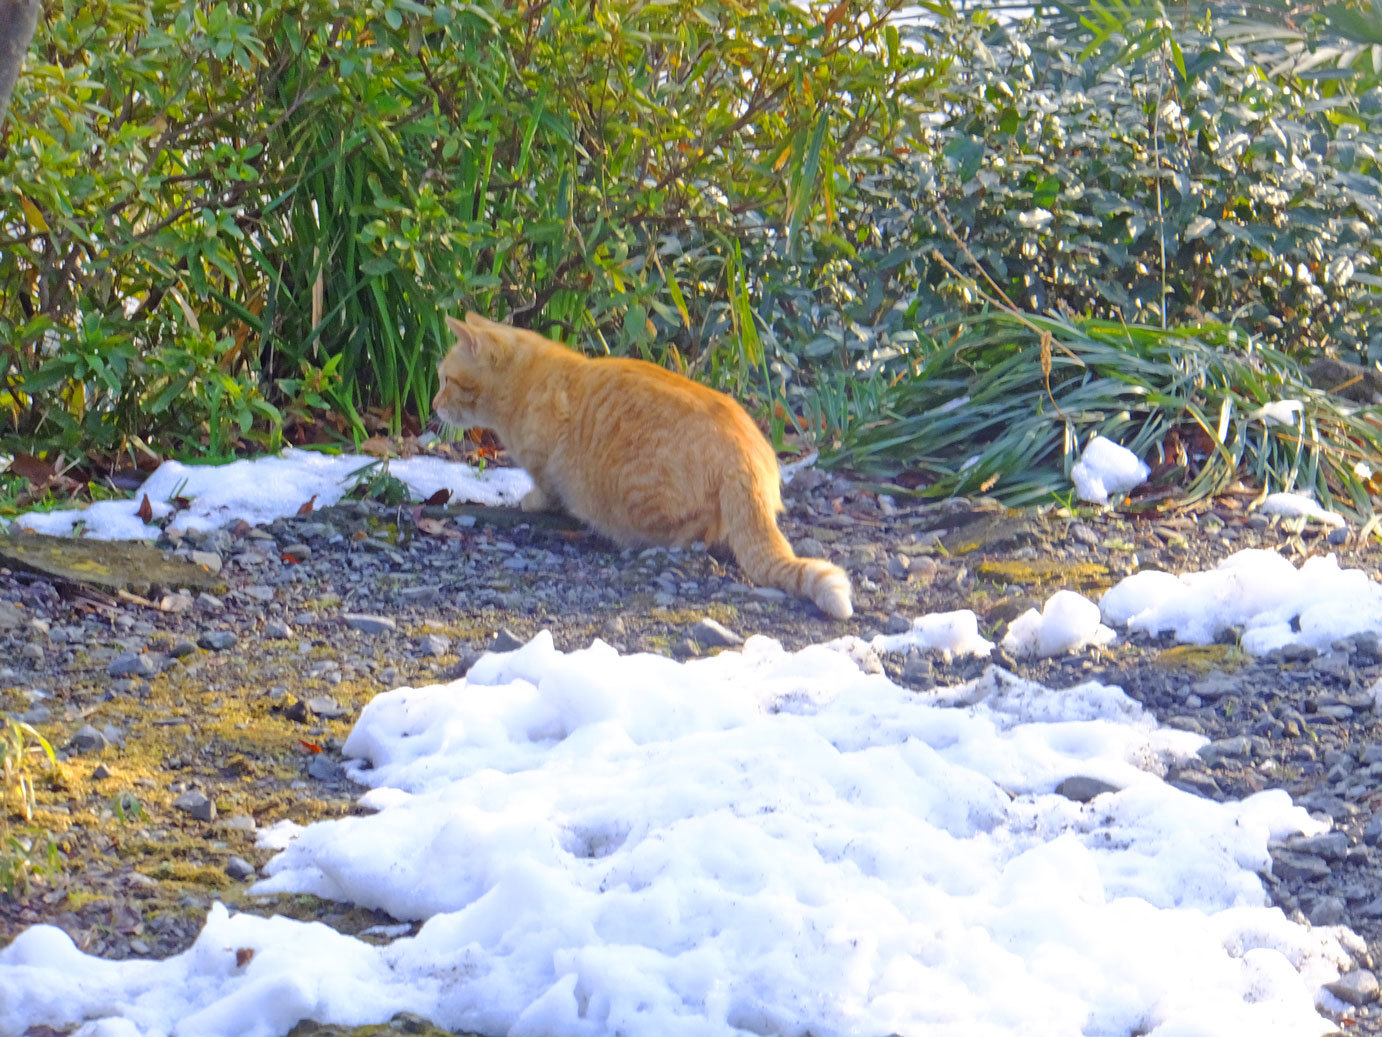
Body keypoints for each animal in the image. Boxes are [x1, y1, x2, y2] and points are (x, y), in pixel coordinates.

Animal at [433, 312, 851, 622]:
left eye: (446, 379)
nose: (434, 404)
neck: (527, 381)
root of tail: (747, 456)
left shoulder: (545, 465)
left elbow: (545, 489)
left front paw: (531, 501)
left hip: (640, 494)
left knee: (694, 534)